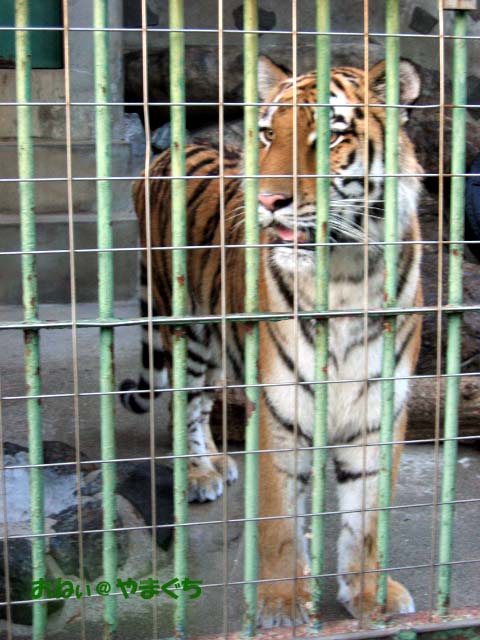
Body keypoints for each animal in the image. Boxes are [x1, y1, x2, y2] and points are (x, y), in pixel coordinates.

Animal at [120, 55, 423, 626]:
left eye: (332, 133)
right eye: (266, 133)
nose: (267, 200)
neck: (347, 276)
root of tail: (168, 149)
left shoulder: (377, 411)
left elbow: (368, 520)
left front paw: (370, 596)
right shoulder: (282, 410)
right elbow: (279, 519)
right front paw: (282, 603)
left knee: (206, 404)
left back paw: (218, 462)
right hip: (185, 328)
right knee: (184, 406)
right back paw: (199, 474)